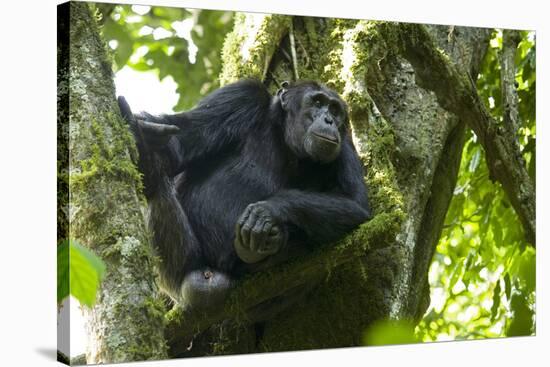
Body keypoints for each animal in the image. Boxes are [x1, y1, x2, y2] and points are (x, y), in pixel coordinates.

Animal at [118, 80, 374, 316]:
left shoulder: (345, 144)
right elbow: (178, 147)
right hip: (182, 271)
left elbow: (356, 204)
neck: (286, 140)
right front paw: (140, 132)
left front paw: (267, 211)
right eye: (317, 102)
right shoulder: (239, 97)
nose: (329, 120)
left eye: (335, 109)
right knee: (158, 183)